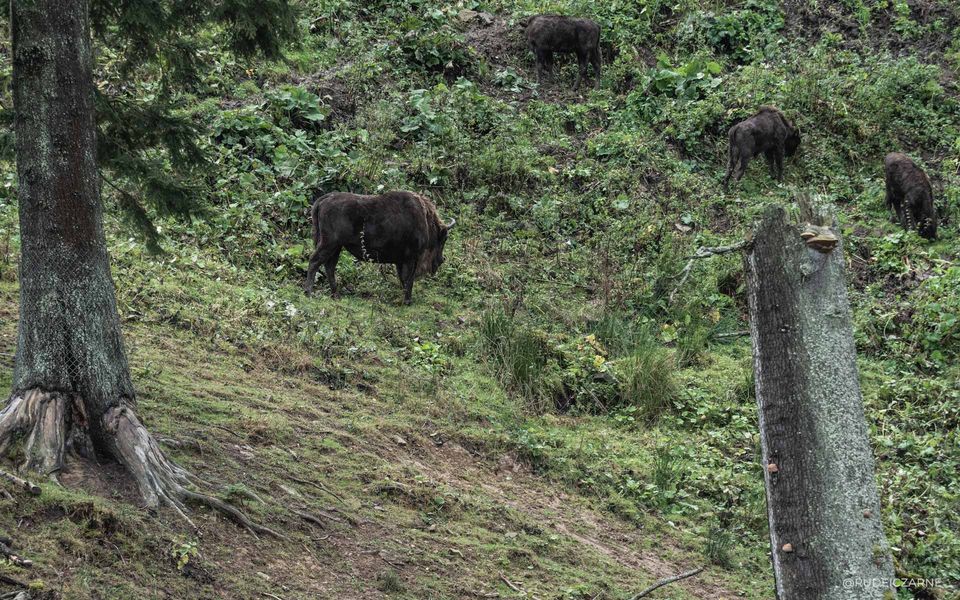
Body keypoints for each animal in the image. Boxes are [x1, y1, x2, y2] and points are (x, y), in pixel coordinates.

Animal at [308, 192, 458, 304]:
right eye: (444, 239)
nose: (441, 260)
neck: (425, 219)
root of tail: (325, 199)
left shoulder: (401, 261)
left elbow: (403, 279)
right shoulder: (411, 258)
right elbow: (408, 279)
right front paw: (408, 301)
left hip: (336, 247)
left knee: (329, 267)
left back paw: (335, 294)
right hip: (329, 244)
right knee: (315, 261)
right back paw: (308, 291)